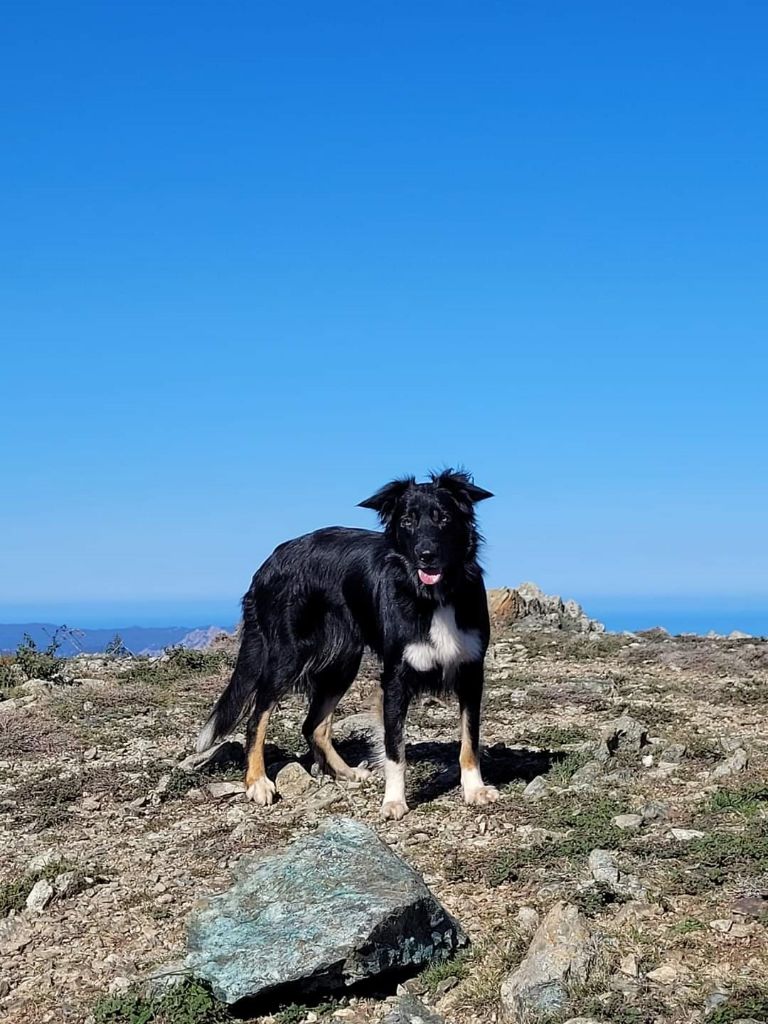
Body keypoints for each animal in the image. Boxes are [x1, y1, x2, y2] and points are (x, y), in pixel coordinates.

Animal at [198, 468, 499, 819]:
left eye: (444, 518)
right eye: (407, 521)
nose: (426, 556)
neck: (433, 596)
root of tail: (271, 560)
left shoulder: (471, 672)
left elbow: (469, 739)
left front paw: (474, 788)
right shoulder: (395, 678)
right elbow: (395, 749)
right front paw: (393, 801)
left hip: (342, 663)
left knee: (313, 725)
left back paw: (345, 772)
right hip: (287, 657)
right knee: (256, 717)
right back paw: (257, 781)